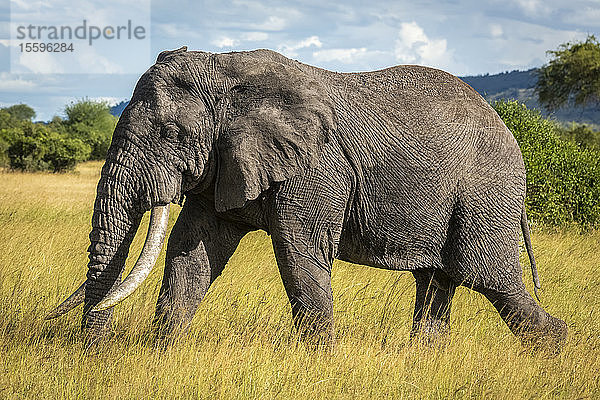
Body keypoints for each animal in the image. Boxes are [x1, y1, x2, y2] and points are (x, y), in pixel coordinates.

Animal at [47, 47, 568, 350]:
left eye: (172, 135)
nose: (93, 348)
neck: (228, 70)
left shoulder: (314, 167)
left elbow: (299, 253)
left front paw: (318, 360)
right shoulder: (225, 160)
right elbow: (192, 250)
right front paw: (162, 353)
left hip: (485, 193)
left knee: (489, 277)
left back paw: (554, 352)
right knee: (438, 281)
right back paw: (422, 359)